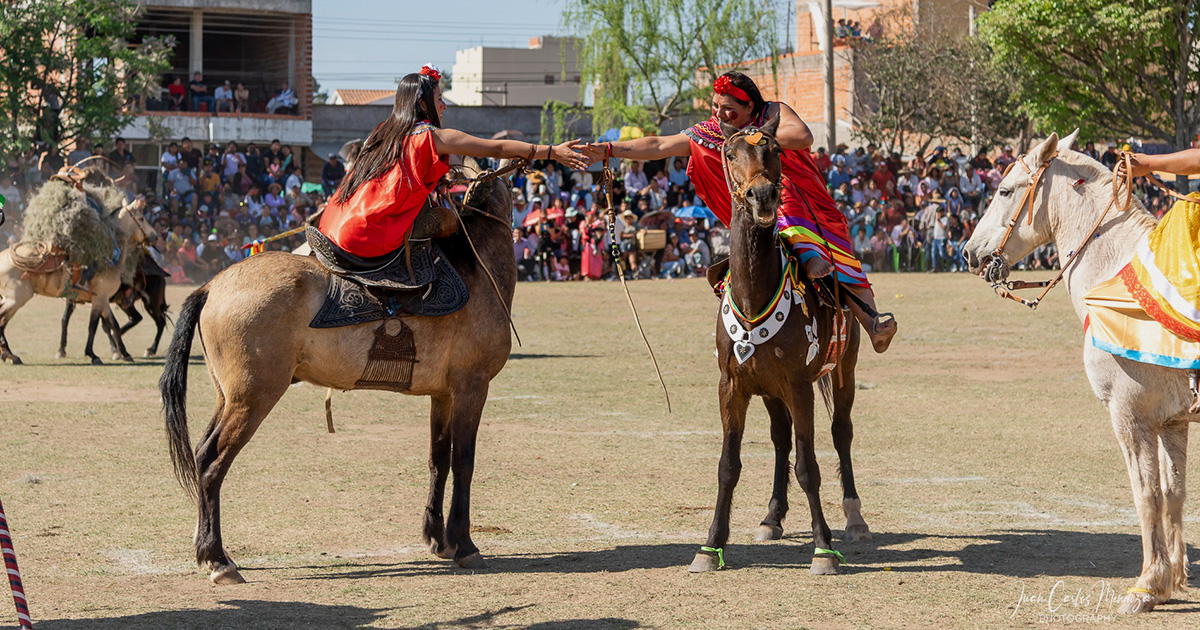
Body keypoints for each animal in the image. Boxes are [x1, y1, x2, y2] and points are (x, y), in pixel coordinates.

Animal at [160, 159, 516, 583]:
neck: (477, 268)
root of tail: (212, 286)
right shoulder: (471, 387)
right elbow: (464, 461)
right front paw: (464, 544)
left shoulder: (443, 394)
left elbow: (439, 460)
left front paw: (438, 538)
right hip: (253, 398)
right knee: (213, 463)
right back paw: (217, 559)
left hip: (227, 397)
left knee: (200, 455)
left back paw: (205, 547)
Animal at [691, 117, 868, 573]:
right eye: (730, 154)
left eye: (774, 150)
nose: (762, 195)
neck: (757, 293)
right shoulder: (732, 387)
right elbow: (728, 466)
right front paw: (711, 546)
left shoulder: (800, 387)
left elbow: (809, 466)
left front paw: (823, 549)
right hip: (770, 392)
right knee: (780, 440)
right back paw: (772, 516)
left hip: (844, 372)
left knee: (842, 433)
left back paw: (855, 518)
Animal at [964, 130, 1190, 612]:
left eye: (1005, 190)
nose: (970, 253)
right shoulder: (1173, 420)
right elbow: (1174, 493)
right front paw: (1174, 578)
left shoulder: (1131, 416)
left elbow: (1146, 495)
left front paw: (1148, 584)